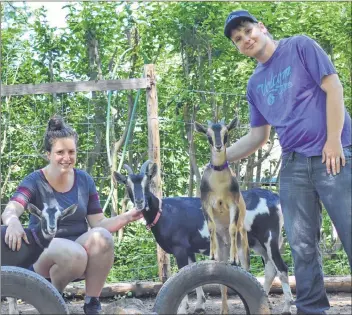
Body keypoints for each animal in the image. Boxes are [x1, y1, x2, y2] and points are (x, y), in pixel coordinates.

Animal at [114, 162, 292, 314]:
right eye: (127, 184)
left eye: (147, 182)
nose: (140, 201)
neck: (163, 212)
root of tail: (274, 198)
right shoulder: (189, 249)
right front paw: (199, 305)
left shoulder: (180, 248)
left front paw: (183, 308)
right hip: (257, 243)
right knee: (270, 268)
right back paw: (265, 300)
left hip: (269, 236)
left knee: (282, 268)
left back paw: (287, 308)